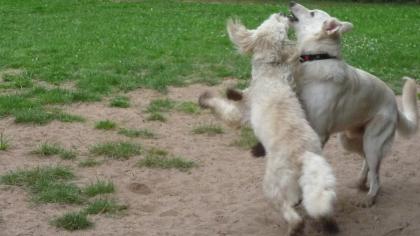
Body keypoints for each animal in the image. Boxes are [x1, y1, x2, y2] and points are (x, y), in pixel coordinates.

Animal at [199, 13, 338, 235]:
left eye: (279, 24)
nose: (282, 14)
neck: (271, 72)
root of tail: (304, 155)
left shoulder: (241, 113)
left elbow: (224, 106)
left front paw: (206, 98)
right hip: (314, 178)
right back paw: (329, 225)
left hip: (273, 185)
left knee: (292, 214)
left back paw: (294, 228)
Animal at [290, 2, 418, 207]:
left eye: (312, 13)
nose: (291, 3)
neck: (319, 57)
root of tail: (394, 105)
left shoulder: (319, 133)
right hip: (349, 141)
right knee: (368, 164)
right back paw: (361, 183)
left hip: (373, 142)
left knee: (377, 175)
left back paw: (370, 197)